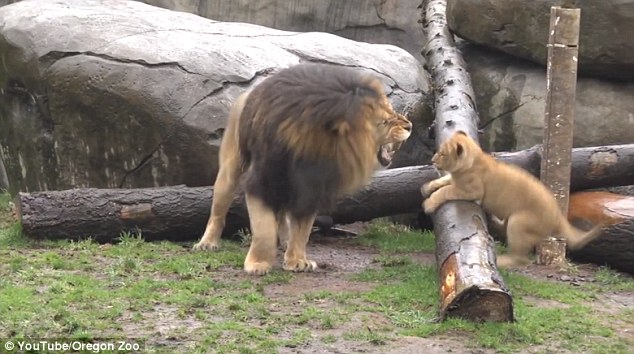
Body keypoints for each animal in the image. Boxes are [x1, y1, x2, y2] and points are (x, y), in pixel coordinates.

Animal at [193, 63, 410, 274]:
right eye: (384, 122)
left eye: (392, 111)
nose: (409, 126)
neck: (314, 147)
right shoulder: (261, 182)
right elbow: (263, 228)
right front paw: (258, 264)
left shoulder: (311, 188)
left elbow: (302, 230)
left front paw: (296, 261)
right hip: (230, 168)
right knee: (219, 211)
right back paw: (207, 243)